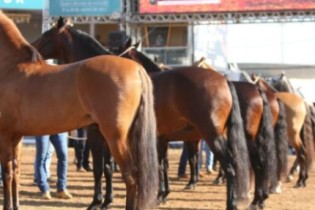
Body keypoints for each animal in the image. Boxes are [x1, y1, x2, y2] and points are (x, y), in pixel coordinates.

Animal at [0, 12, 159, 210]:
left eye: (46, 35)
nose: (36, 45)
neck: (11, 68)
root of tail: (137, 69)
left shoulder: (5, 135)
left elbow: (7, 174)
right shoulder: (16, 136)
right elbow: (16, 171)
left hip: (116, 137)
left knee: (131, 175)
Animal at [32, 17, 252, 210]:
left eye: (46, 35)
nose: (33, 49)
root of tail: (224, 79)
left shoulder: (99, 135)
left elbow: (101, 168)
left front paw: (97, 202)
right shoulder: (137, 138)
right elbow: (115, 167)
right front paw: (110, 200)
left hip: (212, 134)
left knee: (231, 167)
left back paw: (231, 202)